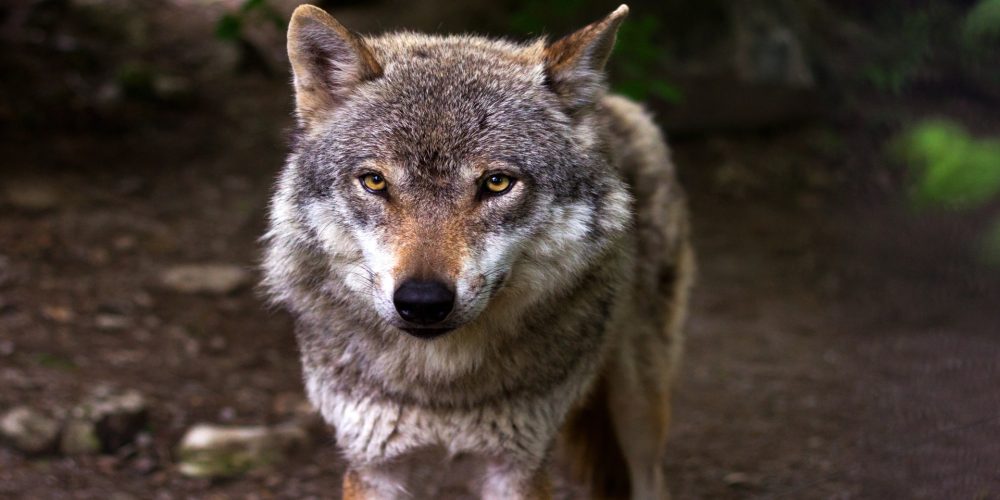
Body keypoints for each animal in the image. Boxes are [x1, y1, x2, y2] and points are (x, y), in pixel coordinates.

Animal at [262, 3, 694, 499]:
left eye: (497, 183)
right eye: (374, 181)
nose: (422, 302)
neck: (441, 385)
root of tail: (613, 104)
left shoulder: (518, 465)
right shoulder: (373, 464)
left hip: (638, 403)